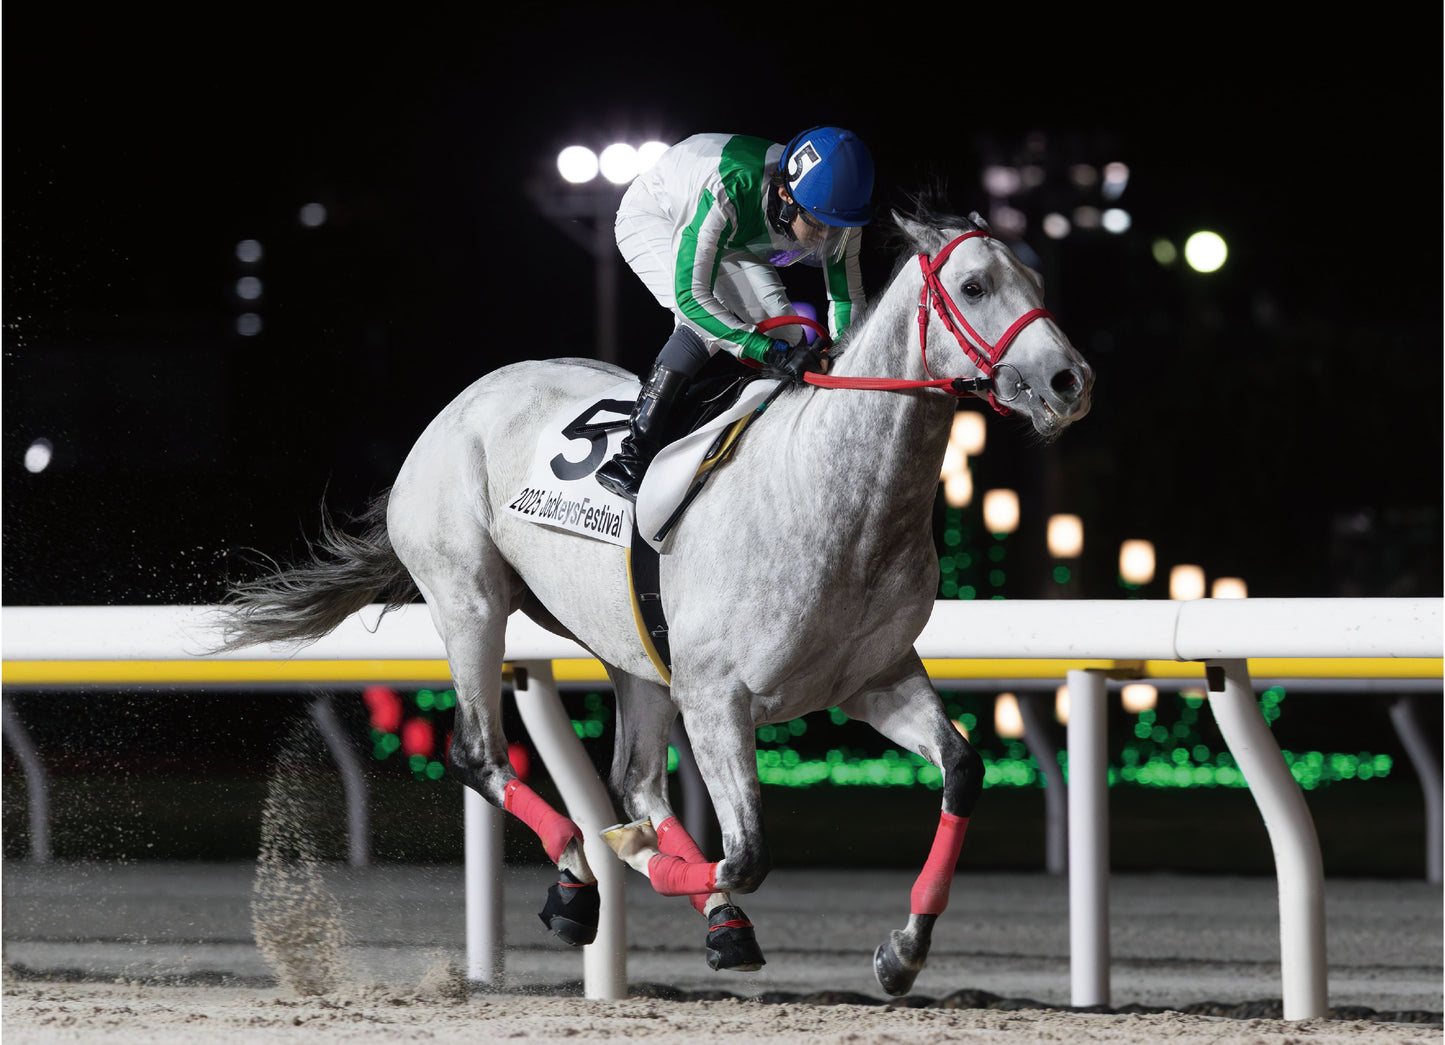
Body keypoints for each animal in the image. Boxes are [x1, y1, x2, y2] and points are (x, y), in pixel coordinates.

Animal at [217, 204, 1094, 995]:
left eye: (1038, 280)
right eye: (974, 285)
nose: (1069, 381)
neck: (835, 498)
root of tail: (463, 402)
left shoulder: (872, 678)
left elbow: (961, 769)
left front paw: (901, 950)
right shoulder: (715, 696)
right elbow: (746, 852)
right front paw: (631, 857)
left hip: (632, 647)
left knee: (634, 778)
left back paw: (686, 902)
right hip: (468, 598)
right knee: (481, 752)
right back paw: (578, 874)